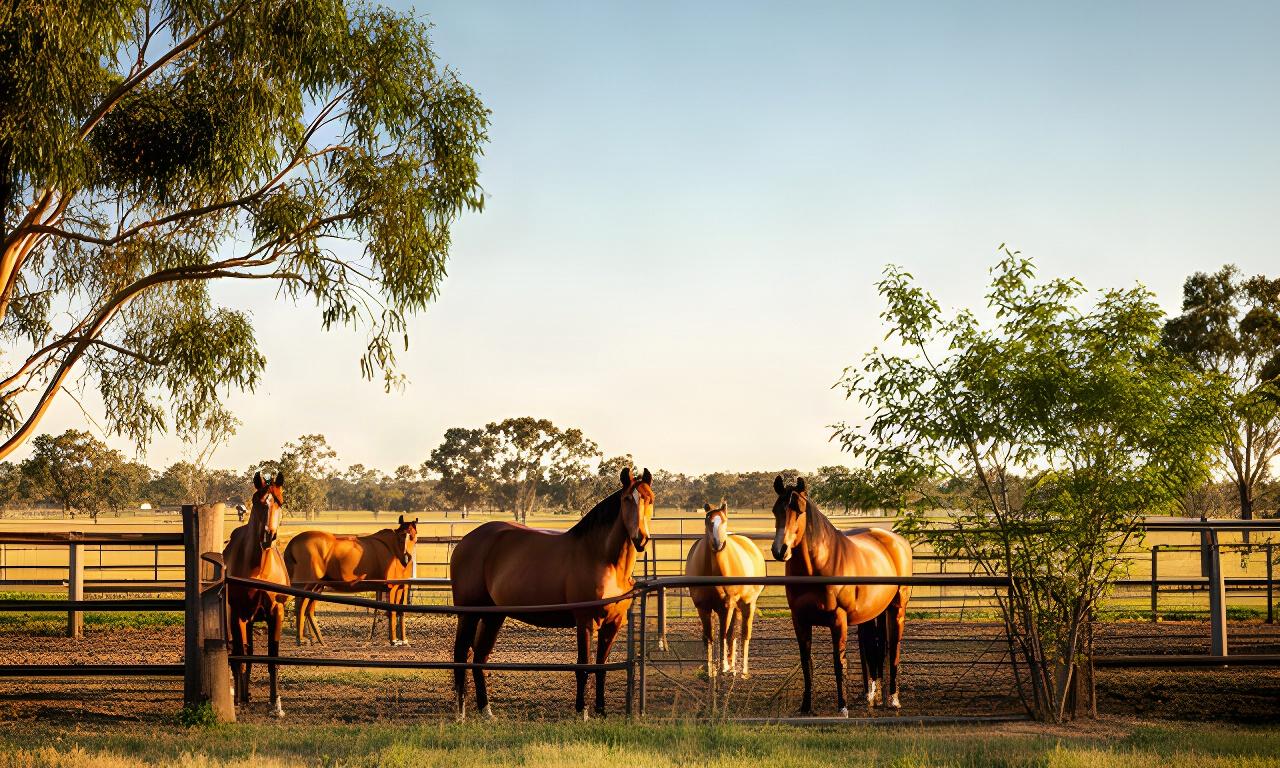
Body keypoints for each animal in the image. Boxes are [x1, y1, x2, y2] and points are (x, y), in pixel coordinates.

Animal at [223, 471, 291, 717]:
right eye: (259, 503)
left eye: (280, 502)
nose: (268, 536)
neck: (260, 569)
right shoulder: (238, 615)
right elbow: (241, 658)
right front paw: (239, 703)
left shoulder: (276, 613)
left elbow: (272, 658)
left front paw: (276, 703)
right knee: (239, 655)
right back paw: (240, 697)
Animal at [283, 516, 419, 646]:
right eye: (401, 536)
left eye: (413, 536)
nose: (406, 558)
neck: (393, 550)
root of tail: (292, 543)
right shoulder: (391, 588)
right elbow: (392, 612)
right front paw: (393, 640)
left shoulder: (402, 587)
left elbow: (401, 612)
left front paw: (403, 640)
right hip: (305, 584)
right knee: (300, 607)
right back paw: (301, 639)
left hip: (316, 586)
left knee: (308, 609)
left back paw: (319, 640)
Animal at [450, 466, 654, 720]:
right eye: (627, 499)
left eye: (650, 499)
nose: (641, 538)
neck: (602, 558)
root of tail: (465, 542)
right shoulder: (585, 621)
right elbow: (584, 666)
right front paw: (582, 712)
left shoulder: (613, 623)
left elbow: (601, 667)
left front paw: (601, 711)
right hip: (469, 614)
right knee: (460, 656)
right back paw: (461, 713)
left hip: (493, 616)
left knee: (479, 658)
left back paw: (487, 712)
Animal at [684, 501, 765, 679]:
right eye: (708, 521)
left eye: (725, 521)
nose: (718, 544)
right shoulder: (703, 608)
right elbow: (710, 637)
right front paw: (711, 670)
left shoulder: (726, 606)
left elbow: (723, 635)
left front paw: (722, 667)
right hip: (736, 608)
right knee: (732, 635)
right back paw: (732, 667)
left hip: (747, 604)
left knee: (744, 634)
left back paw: (742, 671)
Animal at [771, 475, 913, 715]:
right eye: (775, 510)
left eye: (799, 510)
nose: (780, 550)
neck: (819, 565)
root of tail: (898, 541)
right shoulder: (799, 620)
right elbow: (806, 662)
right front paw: (806, 707)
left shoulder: (838, 619)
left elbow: (839, 661)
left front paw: (842, 707)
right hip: (871, 614)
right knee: (871, 649)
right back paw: (870, 695)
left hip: (897, 609)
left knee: (894, 649)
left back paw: (893, 699)